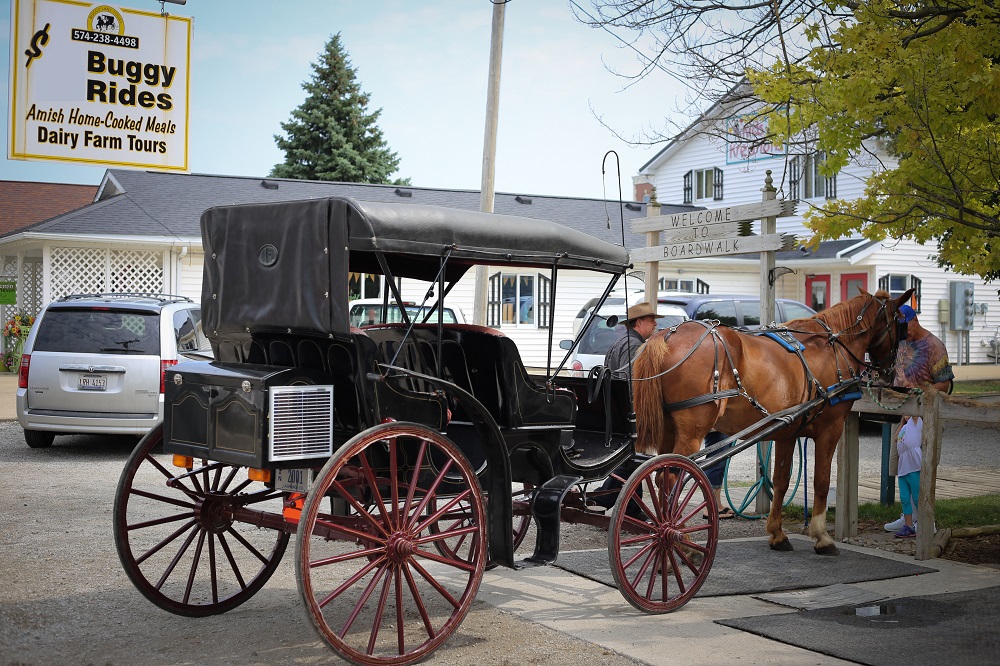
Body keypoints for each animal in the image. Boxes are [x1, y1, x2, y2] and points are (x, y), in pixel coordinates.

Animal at [636, 288, 912, 552]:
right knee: (676, 477)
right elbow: (821, 481)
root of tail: (665, 336)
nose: (889, 373)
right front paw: (822, 536)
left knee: (661, 477)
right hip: (692, 433)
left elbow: (781, 481)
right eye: (901, 324)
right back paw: (679, 539)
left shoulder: (787, 431)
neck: (833, 345)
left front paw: (777, 534)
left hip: (668, 429)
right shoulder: (831, 429)